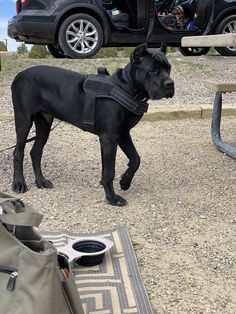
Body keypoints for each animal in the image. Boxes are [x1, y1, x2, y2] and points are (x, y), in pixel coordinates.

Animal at [11, 43, 173, 206]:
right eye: (152, 70)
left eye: (169, 68)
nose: (170, 84)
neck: (127, 87)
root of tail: (19, 75)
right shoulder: (109, 138)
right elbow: (109, 172)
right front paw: (112, 198)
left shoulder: (123, 134)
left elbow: (135, 159)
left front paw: (125, 182)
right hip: (24, 120)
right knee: (18, 152)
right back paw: (19, 183)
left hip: (44, 123)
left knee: (35, 152)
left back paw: (41, 181)